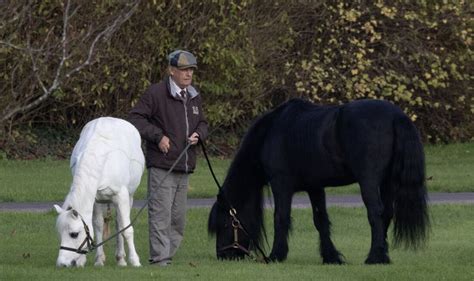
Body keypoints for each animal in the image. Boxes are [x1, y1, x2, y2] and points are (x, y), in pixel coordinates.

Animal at [54, 116, 144, 266]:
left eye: (74, 234)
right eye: (60, 233)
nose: (62, 263)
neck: (100, 158)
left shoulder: (122, 197)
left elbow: (126, 229)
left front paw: (135, 261)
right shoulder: (95, 199)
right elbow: (97, 226)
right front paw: (98, 260)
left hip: (129, 196)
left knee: (120, 224)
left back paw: (121, 259)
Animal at [207, 98, 430, 262]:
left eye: (225, 225)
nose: (223, 256)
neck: (271, 133)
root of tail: (395, 116)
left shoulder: (281, 184)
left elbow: (281, 217)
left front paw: (276, 255)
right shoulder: (315, 187)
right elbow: (320, 219)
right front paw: (331, 257)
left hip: (368, 181)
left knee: (376, 213)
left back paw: (374, 257)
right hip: (387, 182)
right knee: (387, 214)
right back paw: (383, 254)